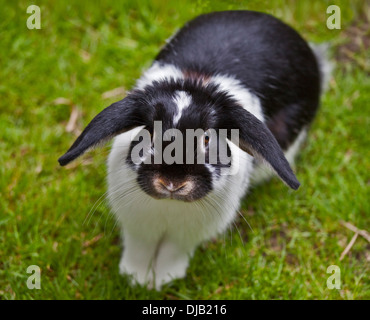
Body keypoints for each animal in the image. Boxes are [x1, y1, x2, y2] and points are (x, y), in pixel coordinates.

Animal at [59, 10, 330, 290]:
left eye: (207, 140)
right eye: (149, 134)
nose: (172, 183)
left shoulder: (186, 236)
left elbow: (173, 251)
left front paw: (163, 279)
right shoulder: (139, 228)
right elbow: (140, 248)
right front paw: (135, 278)